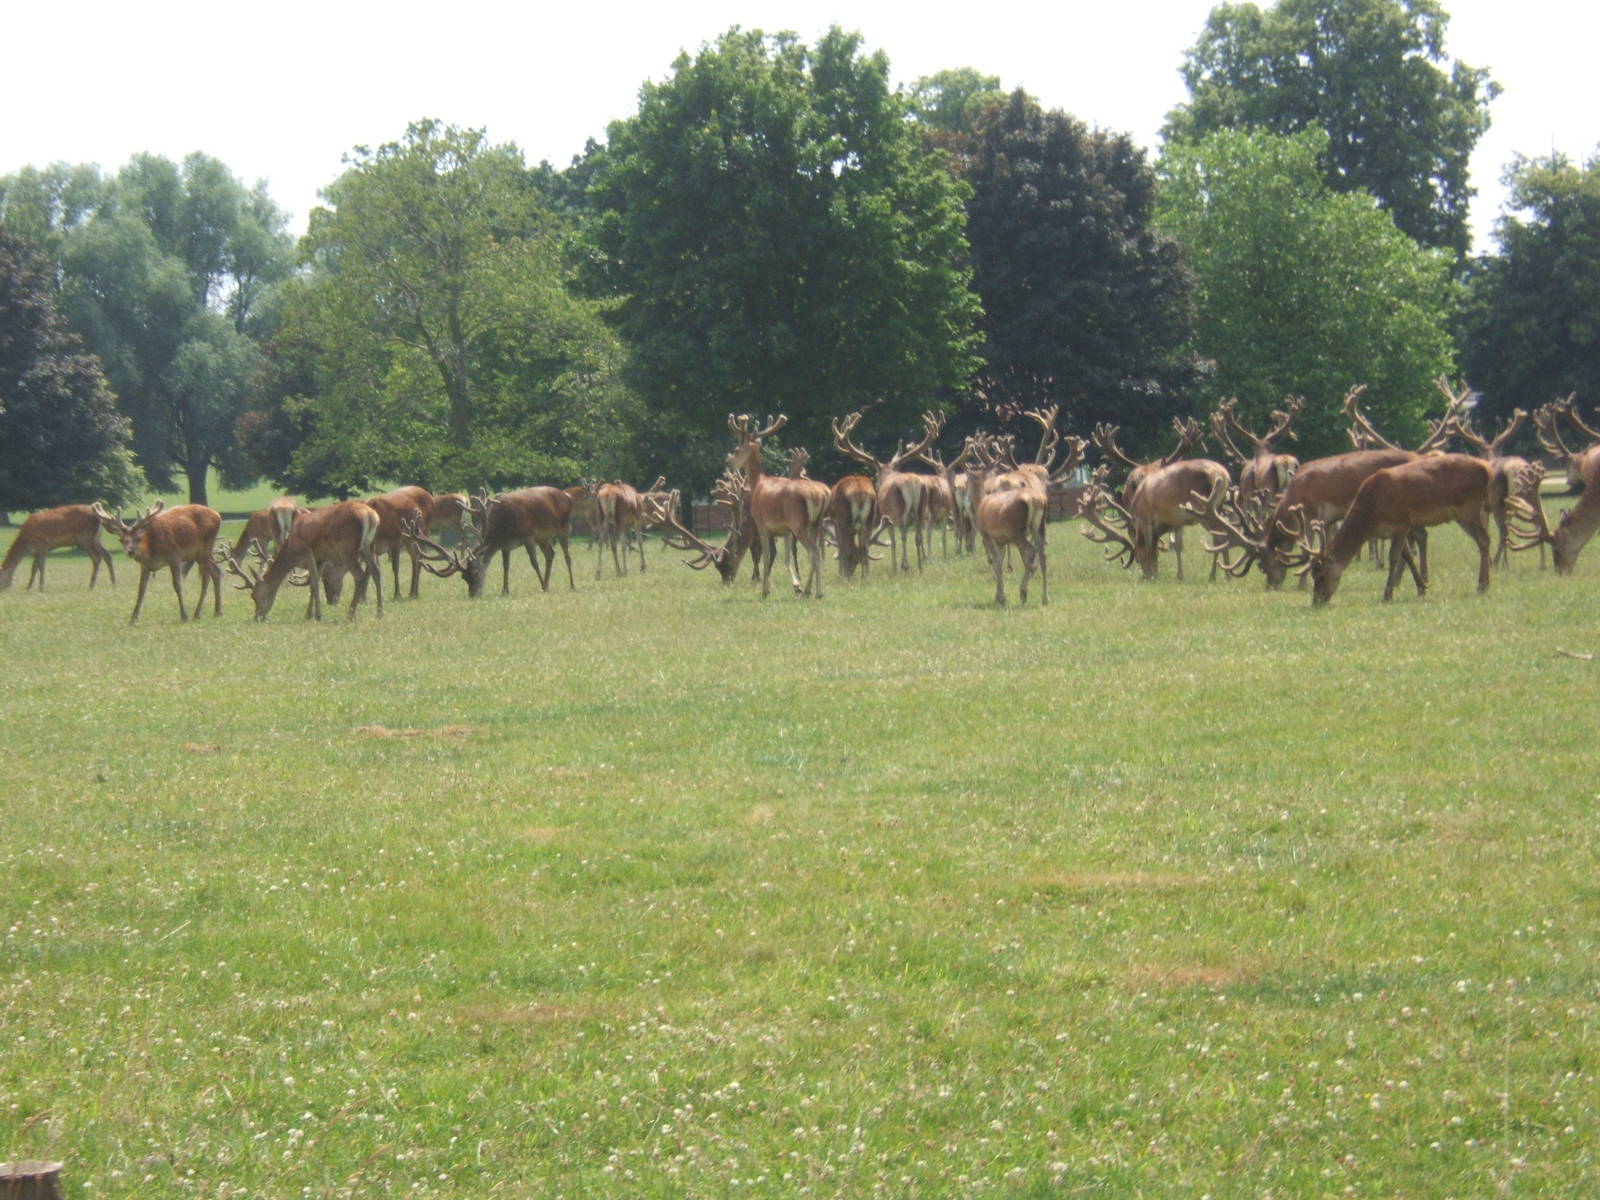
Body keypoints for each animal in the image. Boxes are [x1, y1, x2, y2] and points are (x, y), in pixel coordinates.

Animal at [93, 501, 223, 623]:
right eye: (121, 540)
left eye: (138, 538)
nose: (131, 551)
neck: (151, 550)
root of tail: (217, 515)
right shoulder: (145, 566)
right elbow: (141, 589)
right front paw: (133, 618)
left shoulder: (174, 556)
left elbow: (177, 585)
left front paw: (184, 615)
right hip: (197, 555)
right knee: (216, 571)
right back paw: (217, 611)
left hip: (206, 547)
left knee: (206, 579)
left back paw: (197, 613)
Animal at [219, 500, 383, 621]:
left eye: (253, 596)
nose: (258, 616)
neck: (292, 548)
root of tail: (370, 515)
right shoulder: (320, 558)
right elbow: (313, 582)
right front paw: (309, 614)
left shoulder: (307, 553)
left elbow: (314, 582)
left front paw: (317, 615)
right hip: (369, 546)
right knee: (376, 571)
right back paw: (379, 612)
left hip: (346, 548)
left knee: (359, 575)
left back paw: (350, 614)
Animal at [725, 414, 830, 598]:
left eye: (737, 449)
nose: (728, 461)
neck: (757, 483)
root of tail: (821, 494)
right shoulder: (785, 529)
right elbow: (786, 557)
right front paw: (796, 586)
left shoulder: (761, 522)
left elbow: (766, 556)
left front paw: (765, 591)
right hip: (816, 524)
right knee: (816, 553)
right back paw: (809, 589)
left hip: (799, 523)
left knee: (815, 551)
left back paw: (817, 592)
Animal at [832, 410, 944, 572]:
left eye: (877, 474)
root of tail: (912, 482)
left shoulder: (886, 515)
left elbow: (893, 541)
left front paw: (895, 568)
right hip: (921, 508)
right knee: (918, 535)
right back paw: (920, 567)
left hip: (898, 509)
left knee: (903, 534)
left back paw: (905, 565)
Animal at [1289, 454, 1494, 605]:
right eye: (1313, 574)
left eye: (1321, 574)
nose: (1316, 601)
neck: (1371, 514)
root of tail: (1487, 469)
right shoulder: (1392, 530)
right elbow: (1408, 555)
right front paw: (1421, 588)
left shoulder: (1402, 522)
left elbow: (1393, 557)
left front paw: (1387, 594)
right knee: (1483, 540)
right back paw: (1485, 583)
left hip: (1468, 508)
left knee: (1484, 539)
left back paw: (1481, 585)